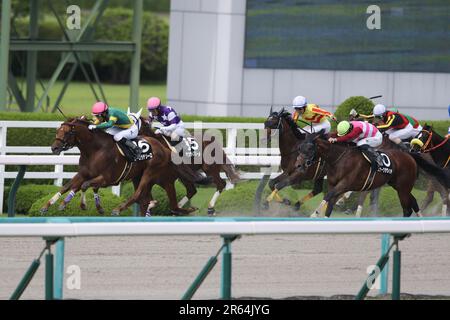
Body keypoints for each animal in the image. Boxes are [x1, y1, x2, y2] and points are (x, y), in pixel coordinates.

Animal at [41, 119, 196, 216]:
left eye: (67, 132)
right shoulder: (84, 173)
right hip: (147, 177)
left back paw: (118, 209)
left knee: (139, 195)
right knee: (150, 201)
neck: (95, 150)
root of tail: (165, 148)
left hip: (151, 173)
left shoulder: (107, 178)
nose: (54, 148)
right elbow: (67, 186)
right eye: (57, 131)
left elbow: (84, 186)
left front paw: (84, 205)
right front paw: (48, 205)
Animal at [296, 130, 450, 218]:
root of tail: (410, 155)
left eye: (309, 148)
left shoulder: (344, 184)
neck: (339, 159)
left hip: (403, 187)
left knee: (408, 208)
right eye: (300, 147)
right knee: (414, 203)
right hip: (400, 186)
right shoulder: (334, 185)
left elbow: (328, 196)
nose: (298, 165)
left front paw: (314, 213)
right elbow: (330, 205)